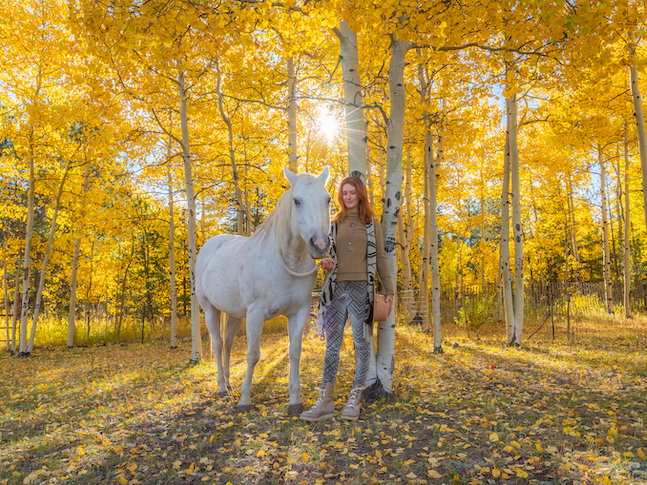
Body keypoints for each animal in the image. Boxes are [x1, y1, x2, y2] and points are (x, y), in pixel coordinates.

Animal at [195, 166, 332, 412]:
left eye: (327, 199)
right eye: (297, 201)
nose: (320, 244)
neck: (286, 262)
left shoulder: (299, 312)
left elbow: (294, 352)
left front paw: (295, 401)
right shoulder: (256, 314)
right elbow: (252, 355)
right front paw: (244, 400)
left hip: (235, 314)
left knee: (228, 344)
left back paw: (228, 383)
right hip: (210, 309)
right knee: (218, 345)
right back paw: (221, 387)